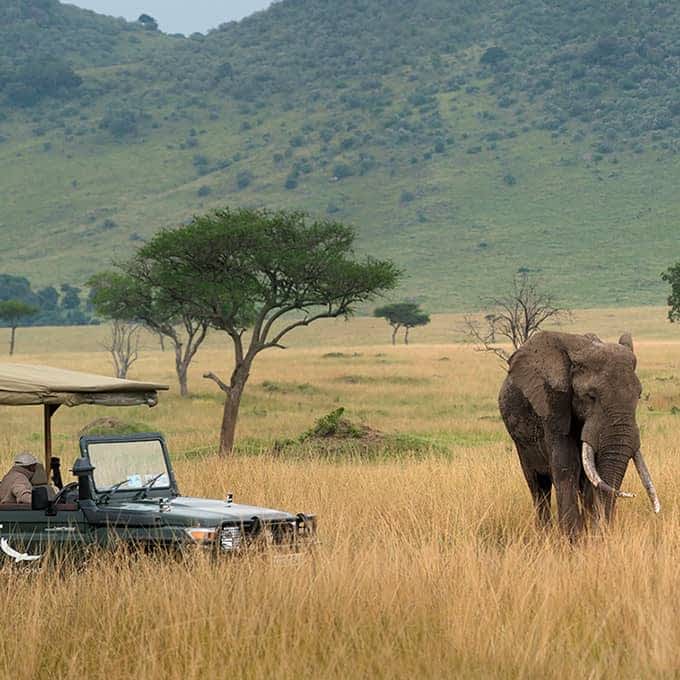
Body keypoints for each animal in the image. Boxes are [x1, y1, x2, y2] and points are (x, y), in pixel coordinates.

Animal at [496, 330, 660, 536]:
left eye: (638, 396)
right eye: (591, 396)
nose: (603, 531)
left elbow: (593, 474)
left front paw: (590, 534)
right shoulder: (553, 405)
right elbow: (567, 466)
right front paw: (573, 539)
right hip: (520, 439)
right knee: (537, 485)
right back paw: (544, 534)